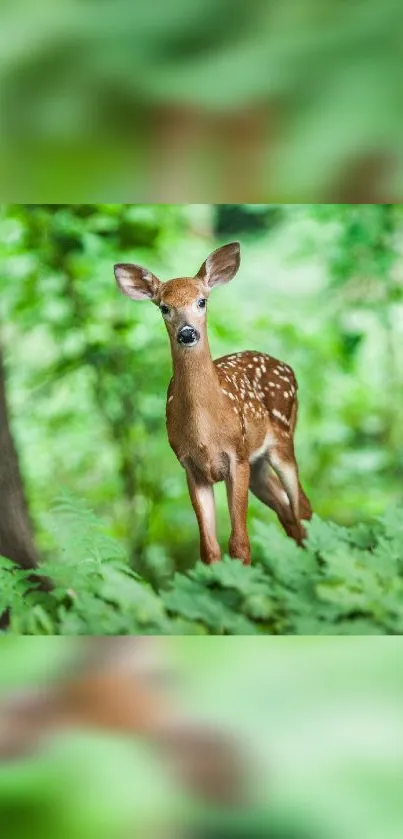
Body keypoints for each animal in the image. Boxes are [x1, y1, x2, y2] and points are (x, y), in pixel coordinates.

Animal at [114, 246, 312, 568]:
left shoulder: (237, 457)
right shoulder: (190, 467)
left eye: (202, 301)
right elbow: (209, 549)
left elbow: (240, 544)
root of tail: (288, 368)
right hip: (258, 464)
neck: (206, 432)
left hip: (282, 440)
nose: (187, 333)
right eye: (163, 307)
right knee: (287, 510)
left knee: (302, 507)